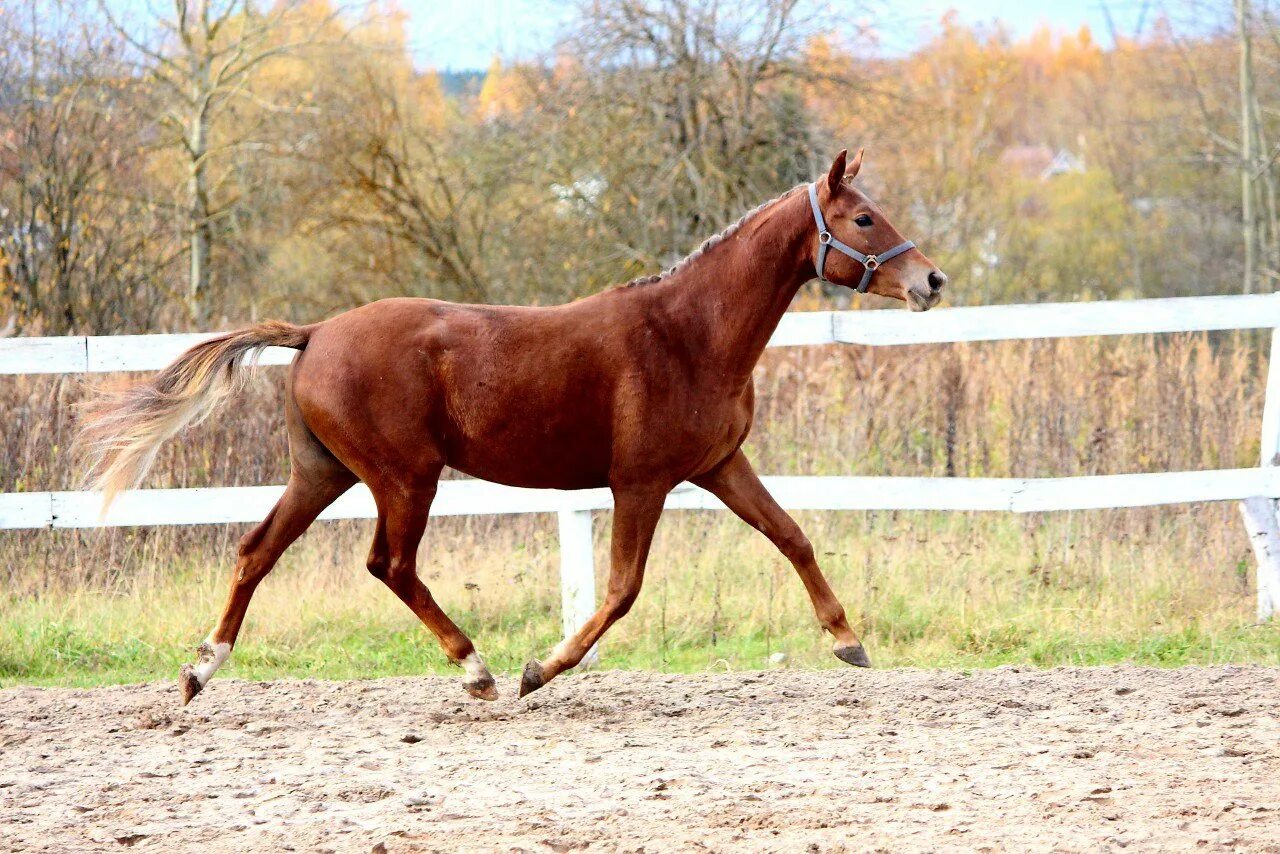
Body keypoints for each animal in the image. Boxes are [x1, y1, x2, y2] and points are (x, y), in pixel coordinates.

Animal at [77, 150, 942, 706]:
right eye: (864, 217)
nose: (930, 281)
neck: (689, 332)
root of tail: (316, 332)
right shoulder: (640, 483)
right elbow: (622, 591)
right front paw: (540, 670)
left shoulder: (720, 465)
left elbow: (793, 536)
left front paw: (849, 642)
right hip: (404, 477)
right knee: (389, 565)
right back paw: (480, 671)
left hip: (322, 472)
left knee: (257, 551)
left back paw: (198, 673)